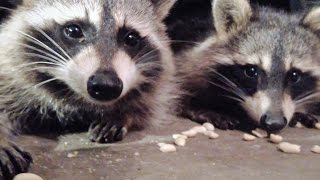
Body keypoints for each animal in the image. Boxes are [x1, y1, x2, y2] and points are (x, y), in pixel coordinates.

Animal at [0, 0, 178, 177]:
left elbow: (146, 106)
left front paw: (123, 113)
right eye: (73, 31)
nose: (105, 85)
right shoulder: (9, 73)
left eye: (132, 38)